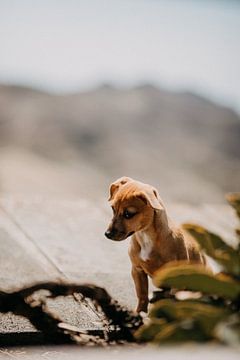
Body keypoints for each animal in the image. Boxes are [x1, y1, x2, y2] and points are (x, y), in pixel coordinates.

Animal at [104, 176, 205, 312]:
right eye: (113, 209)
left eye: (128, 214)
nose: (107, 234)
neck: (146, 236)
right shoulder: (137, 270)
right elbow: (142, 295)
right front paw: (139, 313)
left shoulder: (176, 279)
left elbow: (172, 299)